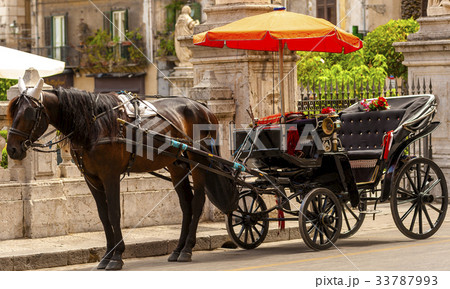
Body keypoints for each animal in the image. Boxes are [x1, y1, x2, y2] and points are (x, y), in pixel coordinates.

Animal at [7, 77, 236, 268]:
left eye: (28, 113)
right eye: (13, 112)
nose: (12, 149)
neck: (93, 125)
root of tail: (204, 108)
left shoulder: (110, 176)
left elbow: (114, 213)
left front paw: (116, 257)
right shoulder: (91, 179)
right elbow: (103, 215)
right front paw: (107, 255)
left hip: (198, 162)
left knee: (197, 202)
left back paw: (187, 248)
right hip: (177, 166)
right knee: (186, 205)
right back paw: (178, 249)